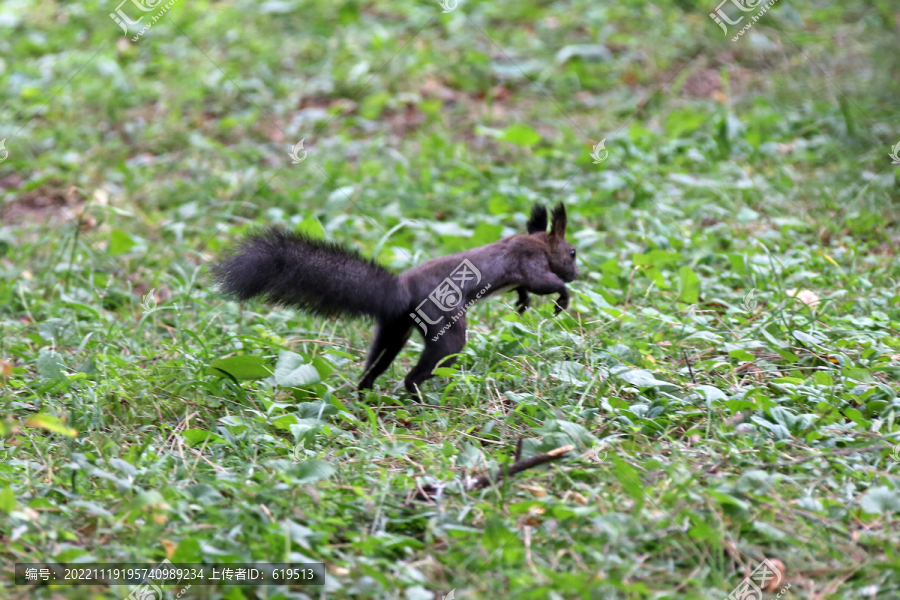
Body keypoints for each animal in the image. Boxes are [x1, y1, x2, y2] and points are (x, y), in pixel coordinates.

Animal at [210, 203, 576, 398]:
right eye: (572, 252)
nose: (575, 272)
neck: (537, 242)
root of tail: (401, 292)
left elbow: (526, 289)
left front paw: (523, 303)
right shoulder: (529, 262)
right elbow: (542, 283)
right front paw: (563, 296)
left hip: (393, 329)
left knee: (378, 359)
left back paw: (364, 391)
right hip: (442, 322)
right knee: (429, 362)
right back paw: (418, 396)